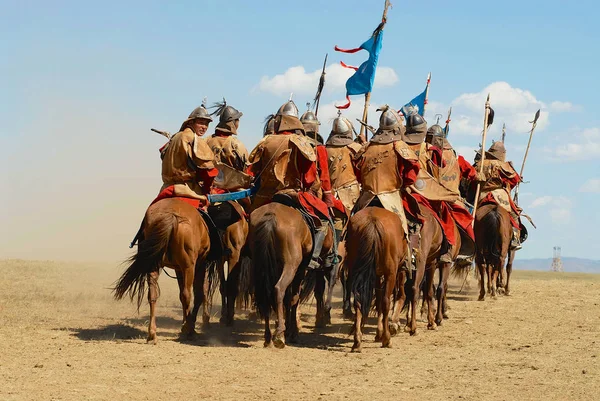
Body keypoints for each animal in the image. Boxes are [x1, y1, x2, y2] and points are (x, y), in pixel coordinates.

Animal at [112, 198, 216, 342]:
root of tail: (171, 216)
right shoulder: (199, 264)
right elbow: (199, 294)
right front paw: (188, 326)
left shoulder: (179, 269)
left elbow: (183, 295)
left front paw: (185, 324)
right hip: (189, 266)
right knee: (187, 294)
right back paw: (190, 331)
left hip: (155, 265)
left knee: (152, 295)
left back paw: (152, 333)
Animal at [247, 202, 332, 348]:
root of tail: (271, 216)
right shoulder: (300, 270)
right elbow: (293, 298)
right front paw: (293, 333)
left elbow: (287, 299)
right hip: (291, 266)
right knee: (279, 289)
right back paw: (279, 334)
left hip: (260, 265)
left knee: (265, 293)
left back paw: (268, 337)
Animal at [342, 208, 408, 352]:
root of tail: (373, 221)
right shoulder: (394, 271)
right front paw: (384, 334)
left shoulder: (376, 275)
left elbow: (377, 300)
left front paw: (378, 333)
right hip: (391, 273)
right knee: (386, 302)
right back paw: (387, 339)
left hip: (357, 272)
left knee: (358, 302)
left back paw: (357, 342)